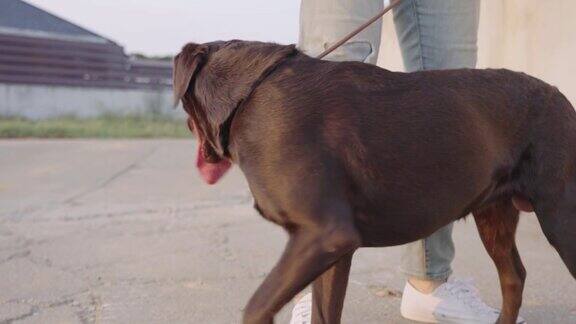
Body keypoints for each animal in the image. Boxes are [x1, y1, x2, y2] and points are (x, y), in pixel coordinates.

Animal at [173, 40, 576, 324]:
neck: (249, 95)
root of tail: (562, 98)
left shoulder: (325, 234)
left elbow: (257, 306)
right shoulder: (331, 250)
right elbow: (324, 313)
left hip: (560, 214)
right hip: (494, 214)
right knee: (514, 277)